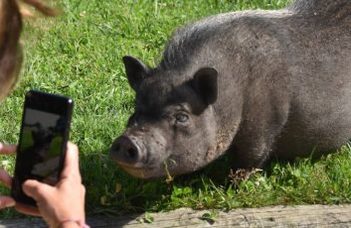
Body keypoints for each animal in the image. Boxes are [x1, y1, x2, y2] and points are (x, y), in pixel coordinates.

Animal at [110, 0, 351, 178]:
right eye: (135, 112)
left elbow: (251, 156)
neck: (232, 93)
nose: (126, 140)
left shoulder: (263, 122)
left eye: (182, 116)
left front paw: (234, 182)